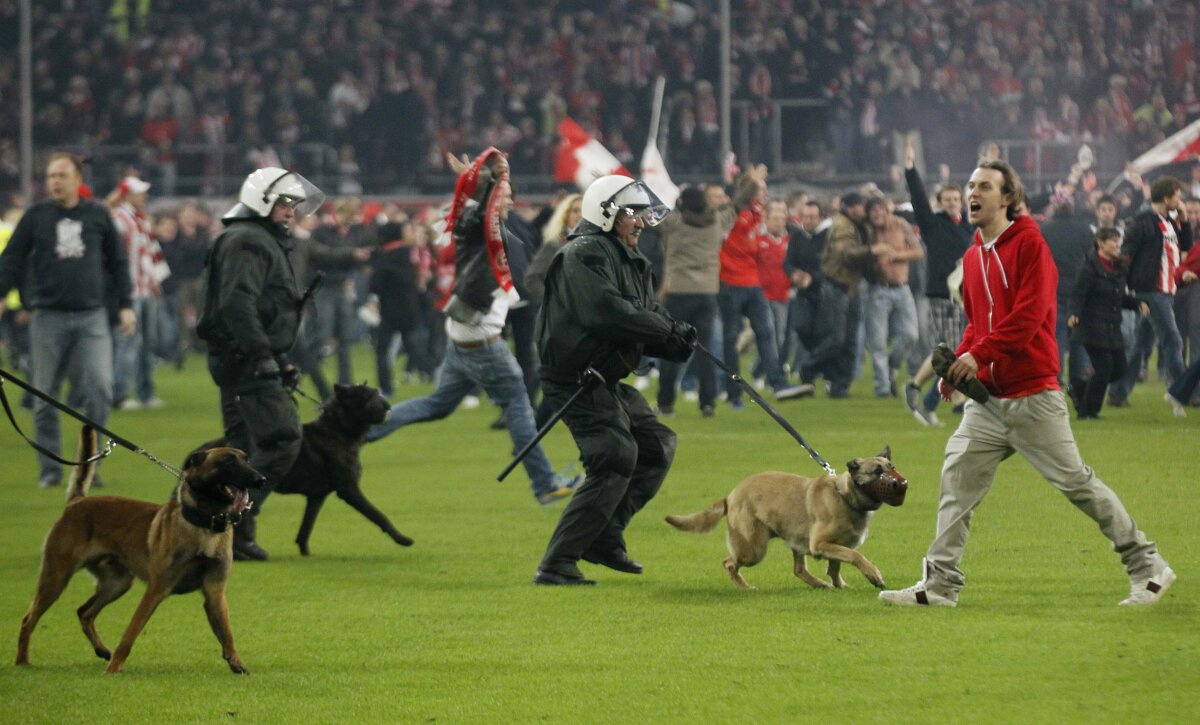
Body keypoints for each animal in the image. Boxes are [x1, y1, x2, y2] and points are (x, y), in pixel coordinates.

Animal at [15, 424, 262, 672]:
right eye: (228, 462)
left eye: (247, 460)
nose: (261, 478)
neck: (204, 525)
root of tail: (77, 502)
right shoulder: (156, 589)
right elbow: (130, 633)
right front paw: (113, 669)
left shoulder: (215, 591)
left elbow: (227, 632)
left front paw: (236, 662)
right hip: (56, 578)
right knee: (29, 619)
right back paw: (22, 661)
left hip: (117, 583)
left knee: (84, 612)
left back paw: (101, 650)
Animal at [662, 446, 902, 595]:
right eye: (877, 471)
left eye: (892, 467)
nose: (900, 483)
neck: (845, 496)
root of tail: (730, 496)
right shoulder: (821, 544)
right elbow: (856, 556)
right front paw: (873, 574)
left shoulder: (835, 545)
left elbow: (836, 567)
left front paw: (841, 586)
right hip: (753, 550)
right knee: (729, 562)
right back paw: (744, 587)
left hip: (792, 541)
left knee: (798, 570)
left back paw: (819, 584)